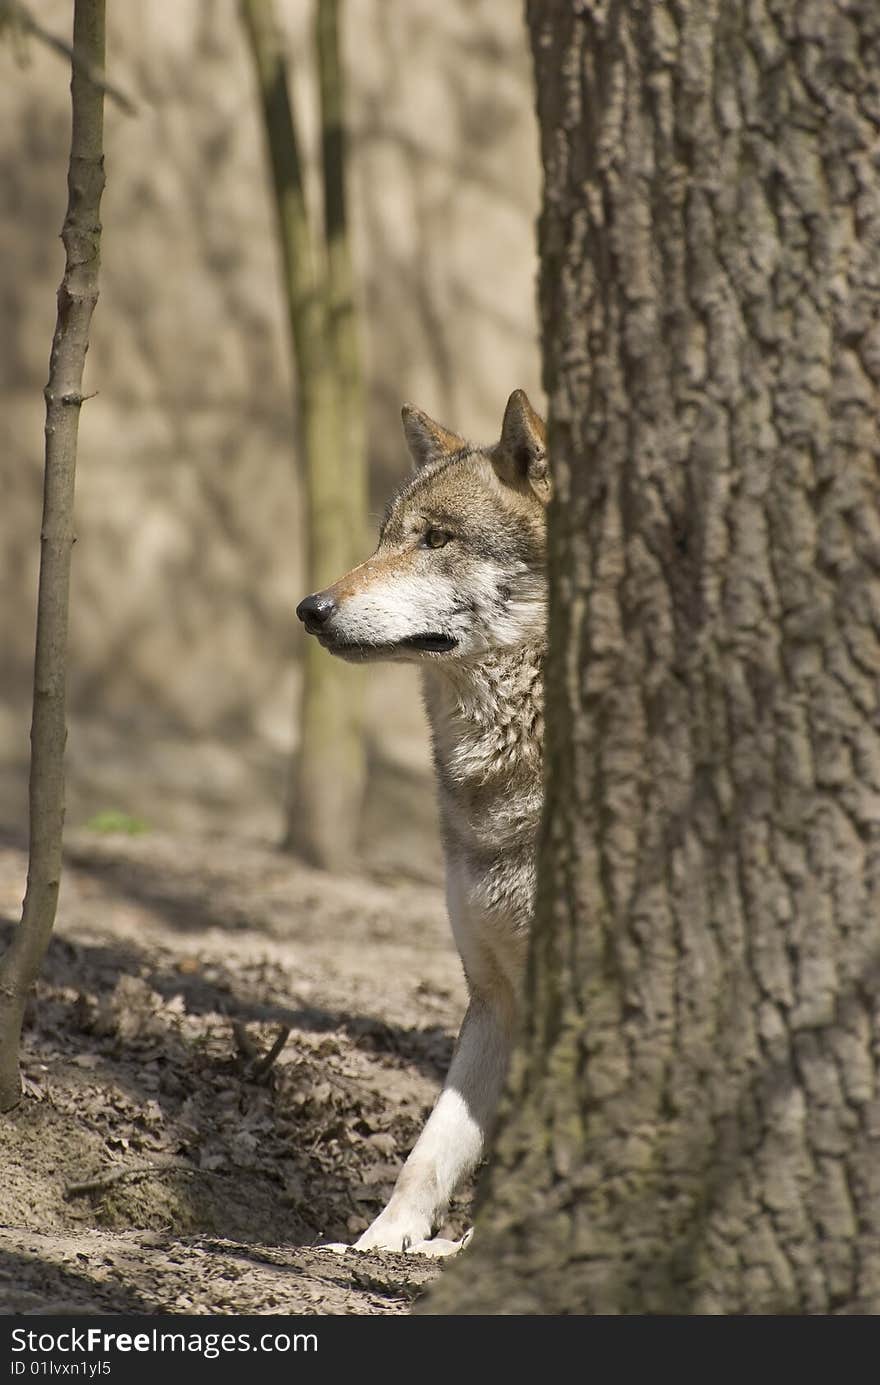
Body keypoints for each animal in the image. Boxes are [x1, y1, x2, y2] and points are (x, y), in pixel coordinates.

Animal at [299, 390, 548, 1257]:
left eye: (435, 539)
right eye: (383, 536)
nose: (310, 608)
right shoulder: (494, 996)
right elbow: (431, 1147)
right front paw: (381, 1243)